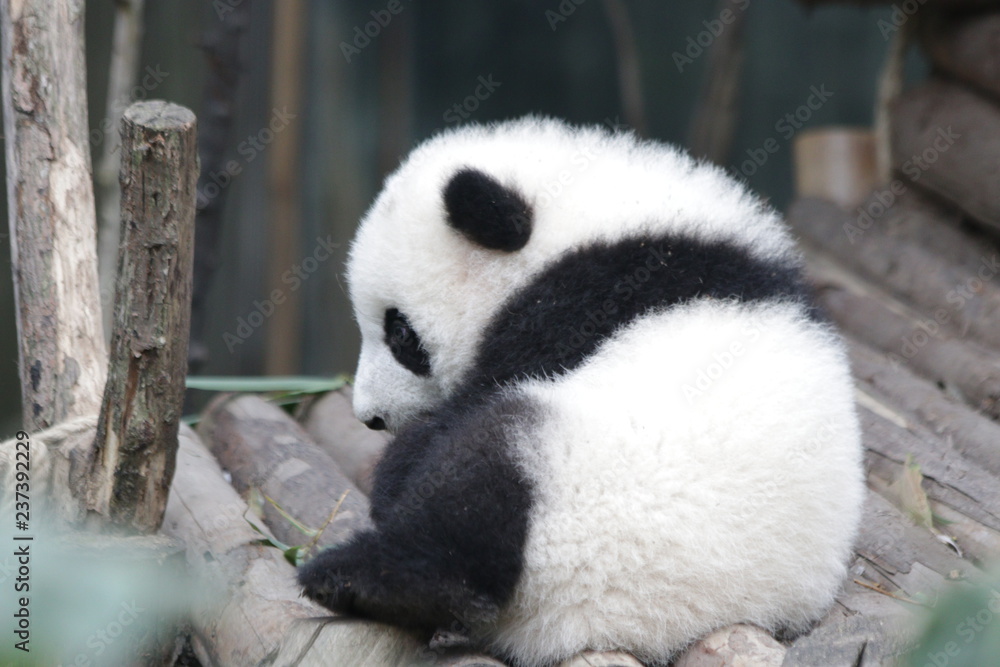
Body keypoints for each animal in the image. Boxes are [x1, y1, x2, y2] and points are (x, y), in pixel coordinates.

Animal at [298, 117, 865, 666]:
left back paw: (363, 577)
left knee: (478, 483)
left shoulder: (587, 295)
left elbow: (474, 401)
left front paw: (396, 466)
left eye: (400, 333)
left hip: (577, 473)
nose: (370, 416)